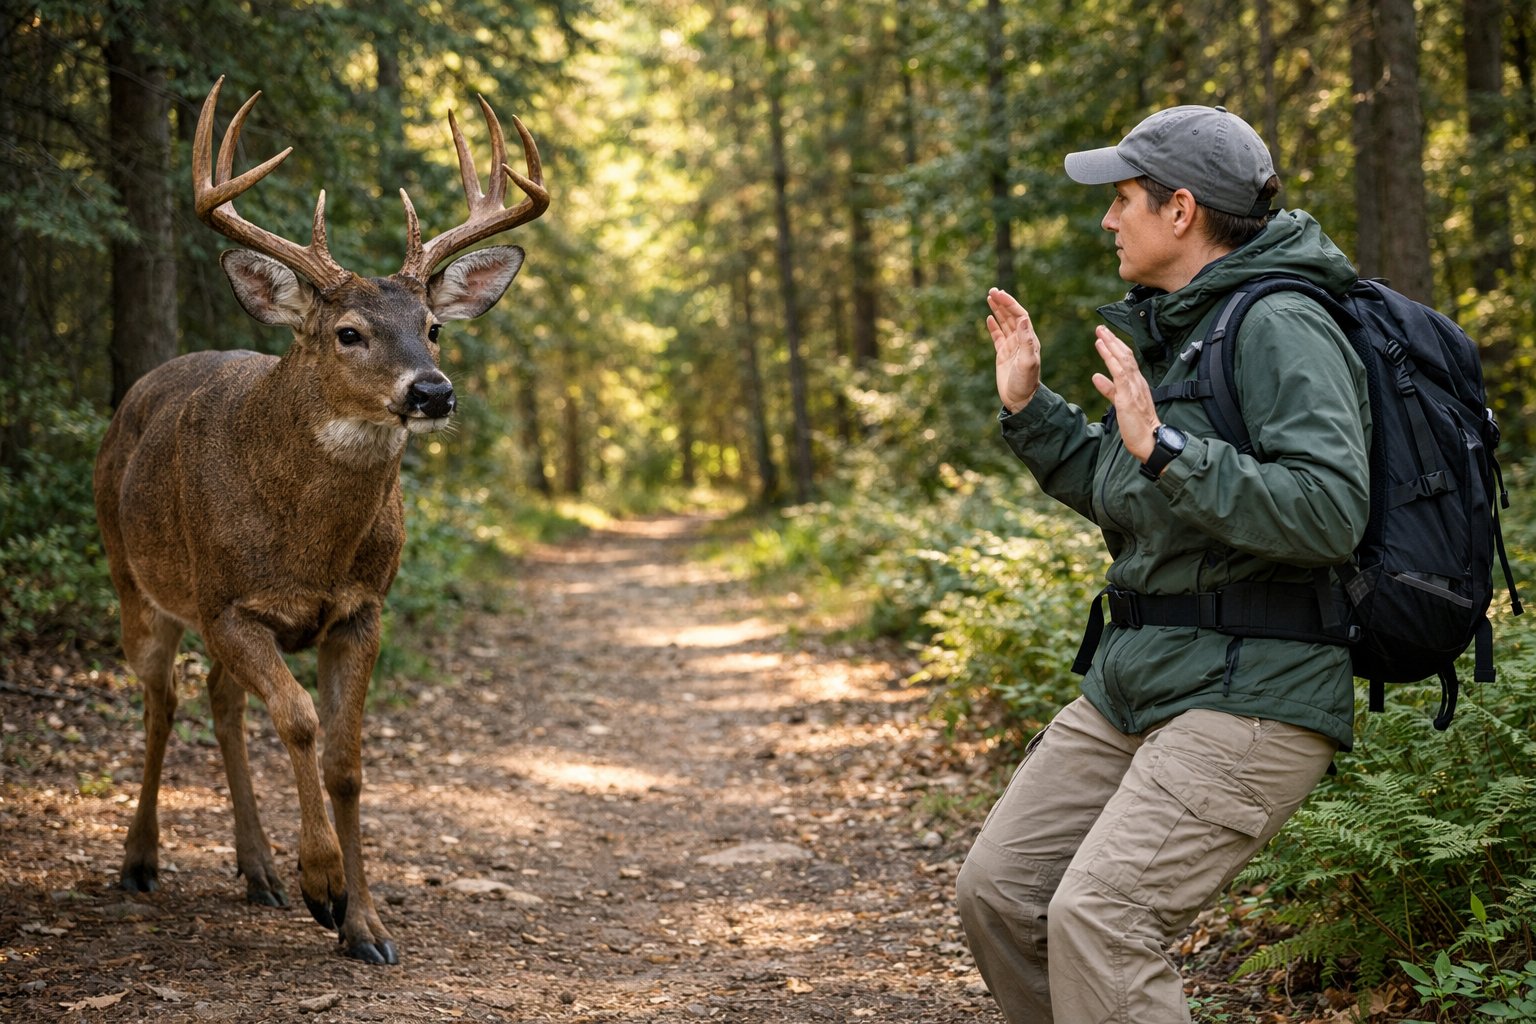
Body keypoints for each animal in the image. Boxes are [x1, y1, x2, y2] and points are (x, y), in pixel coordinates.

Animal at [92, 77, 547, 964]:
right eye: (348, 332)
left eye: (433, 328)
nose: (432, 391)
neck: (309, 546)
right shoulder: (230, 604)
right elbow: (299, 720)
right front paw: (324, 884)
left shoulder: (361, 610)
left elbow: (345, 759)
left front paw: (365, 924)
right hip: (137, 582)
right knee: (163, 701)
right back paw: (141, 860)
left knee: (220, 700)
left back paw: (258, 870)